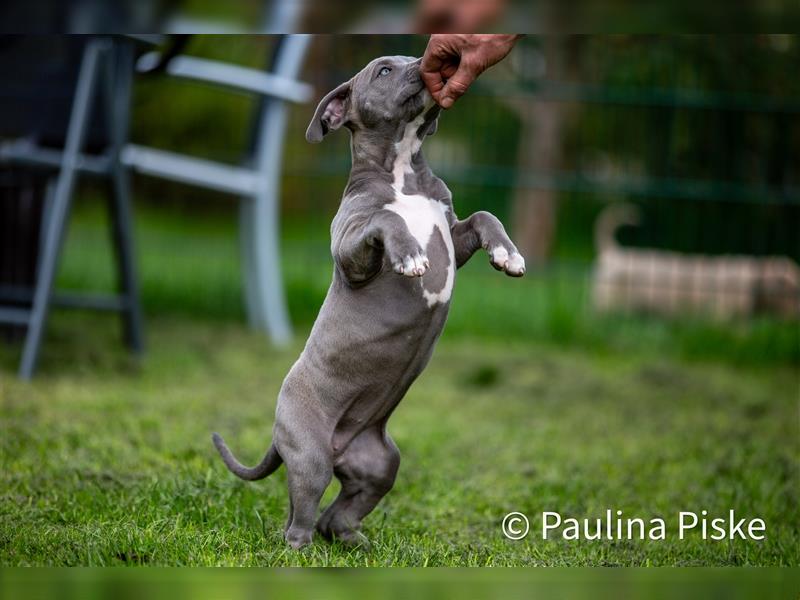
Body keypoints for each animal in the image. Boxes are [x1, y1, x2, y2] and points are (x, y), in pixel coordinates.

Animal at [212, 55, 524, 548]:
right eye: (384, 70)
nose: (429, 62)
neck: (403, 173)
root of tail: (338, 447)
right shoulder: (350, 249)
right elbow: (385, 220)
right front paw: (410, 255)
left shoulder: (454, 235)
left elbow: (483, 215)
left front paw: (507, 254)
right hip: (311, 458)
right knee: (298, 517)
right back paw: (301, 549)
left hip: (380, 463)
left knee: (338, 511)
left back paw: (352, 539)